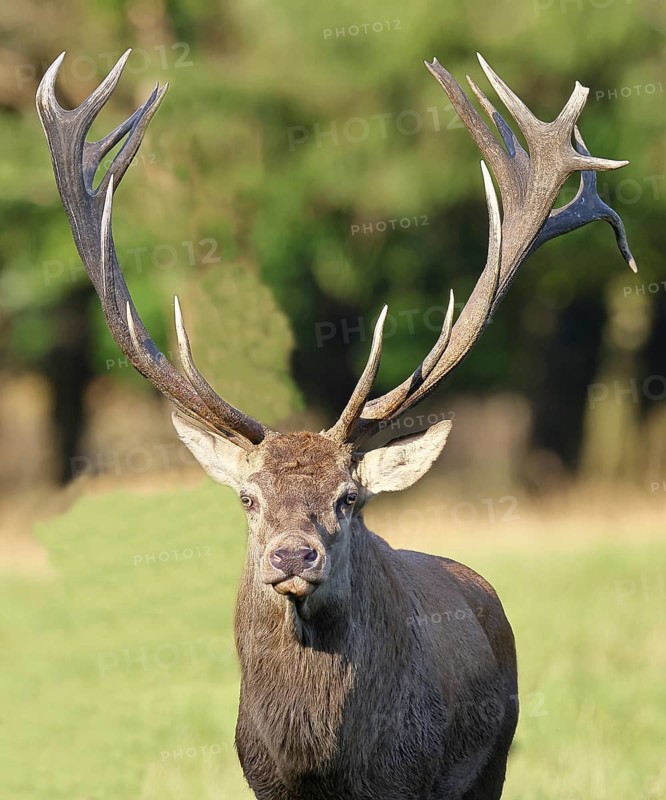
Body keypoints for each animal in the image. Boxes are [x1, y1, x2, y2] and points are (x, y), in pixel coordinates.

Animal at [37, 51, 635, 800]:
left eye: (349, 498)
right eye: (248, 497)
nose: (292, 556)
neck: (317, 761)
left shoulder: (408, 778)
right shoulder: (260, 780)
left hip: (491, 763)